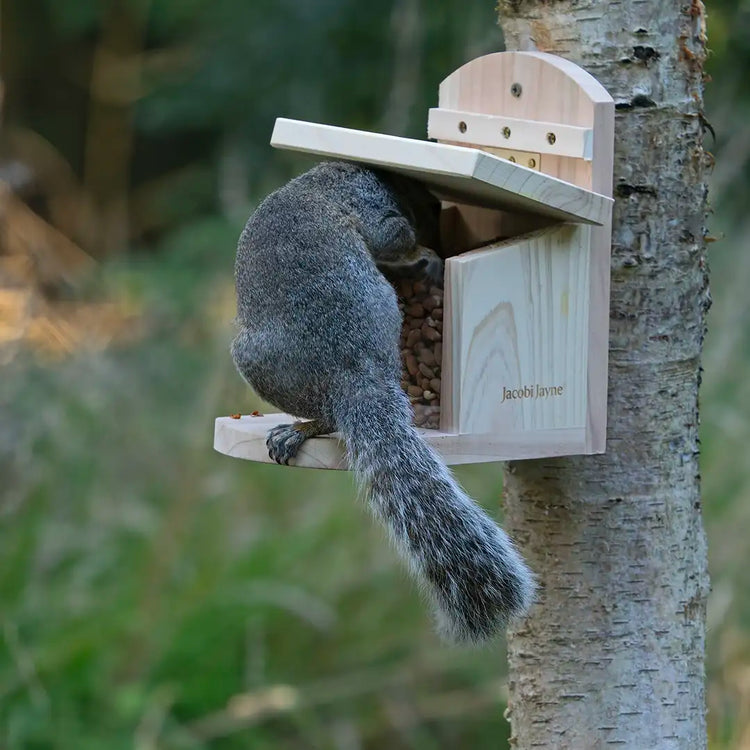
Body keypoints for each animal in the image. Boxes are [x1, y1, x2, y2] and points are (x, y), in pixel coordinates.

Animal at [231, 161, 534, 644]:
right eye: (431, 204)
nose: (439, 237)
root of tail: (357, 375)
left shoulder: (375, 209)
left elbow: (395, 236)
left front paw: (422, 251)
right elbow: (397, 235)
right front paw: (424, 249)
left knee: (327, 418)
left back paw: (300, 428)